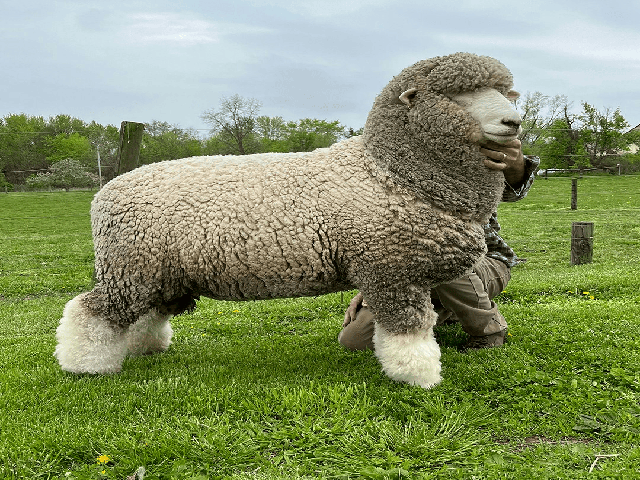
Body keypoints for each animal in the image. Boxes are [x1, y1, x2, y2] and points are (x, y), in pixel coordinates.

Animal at [54, 52, 522, 389]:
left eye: (505, 92)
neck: (389, 171)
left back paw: (143, 349)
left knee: (147, 314)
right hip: (130, 268)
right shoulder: (390, 271)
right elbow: (409, 331)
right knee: (91, 311)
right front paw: (420, 378)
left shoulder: (406, 270)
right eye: (458, 94)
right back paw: (84, 365)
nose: (514, 122)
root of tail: (106, 192)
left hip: (159, 271)